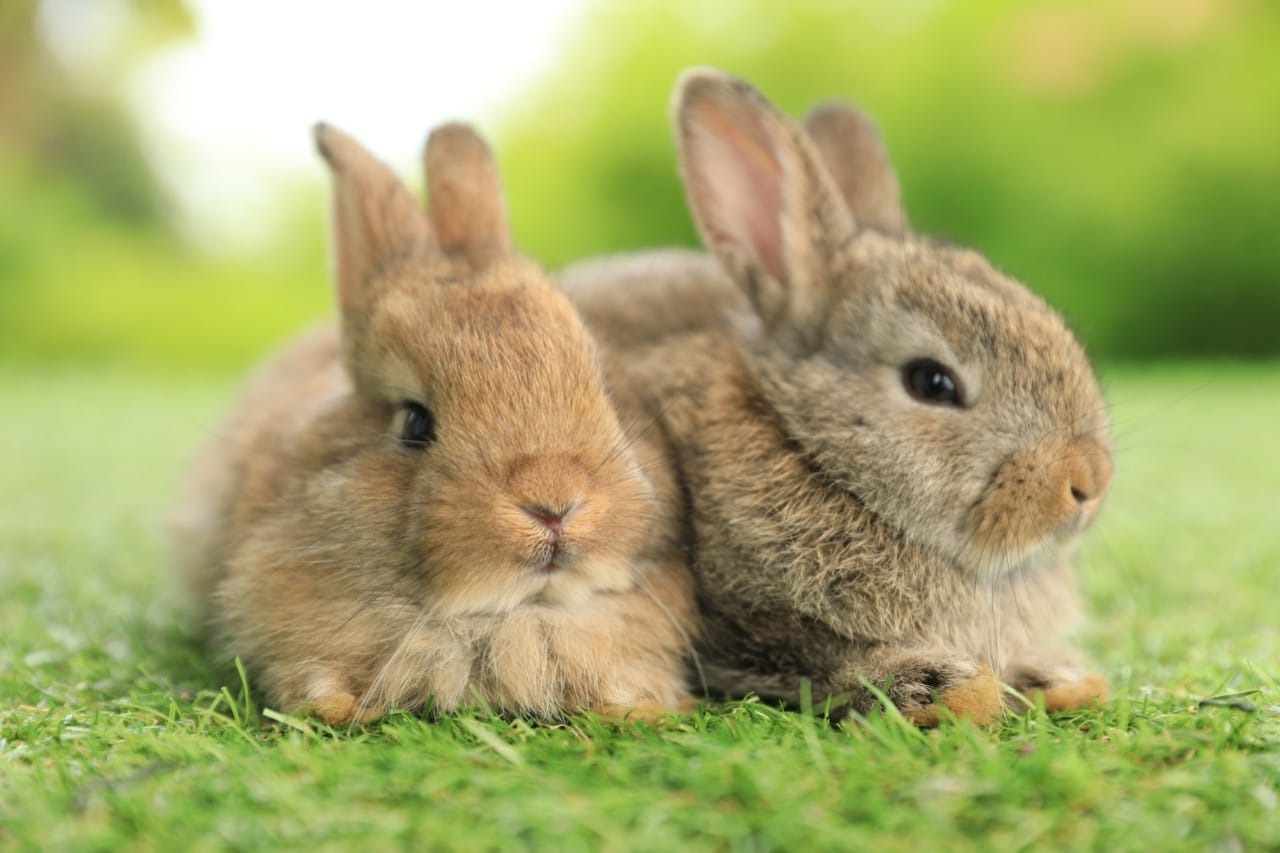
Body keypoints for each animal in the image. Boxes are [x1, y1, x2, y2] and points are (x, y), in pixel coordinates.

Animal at [170, 121, 698, 725]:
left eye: (603, 387)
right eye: (414, 422)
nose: (554, 505)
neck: (505, 616)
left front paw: (639, 709)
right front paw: (335, 707)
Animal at [560, 68, 1113, 725]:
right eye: (931, 382)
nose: (1089, 481)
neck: (808, 450)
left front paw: (1058, 676)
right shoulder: (732, 621)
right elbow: (816, 661)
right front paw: (942, 685)